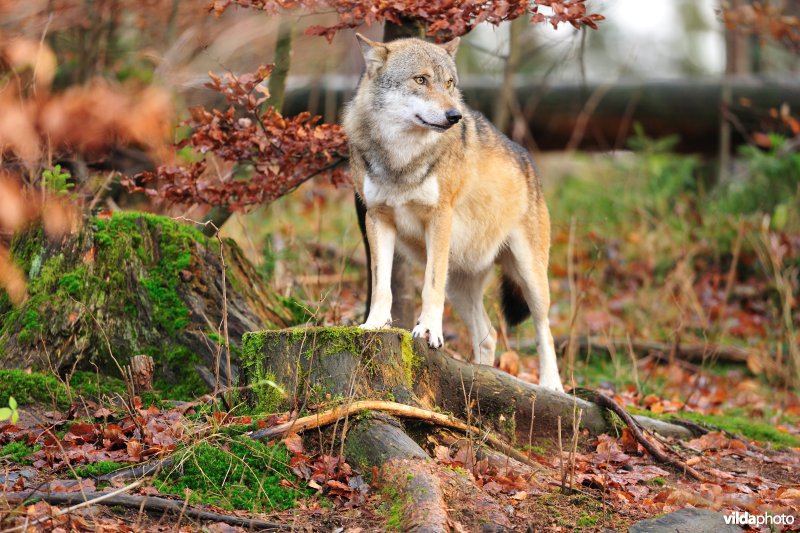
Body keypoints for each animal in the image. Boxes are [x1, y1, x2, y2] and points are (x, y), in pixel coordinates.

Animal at [345, 34, 564, 392]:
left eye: (449, 83)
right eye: (421, 80)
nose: (454, 116)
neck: (401, 159)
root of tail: (528, 161)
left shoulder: (439, 217)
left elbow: (429, 286)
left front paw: (428, 331)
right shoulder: (376, 218)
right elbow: (380, 284)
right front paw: (374, 325)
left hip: (530, 277)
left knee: (544, 330)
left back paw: (551, 384)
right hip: (461, 285)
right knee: (489, 335)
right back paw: (483, 377)